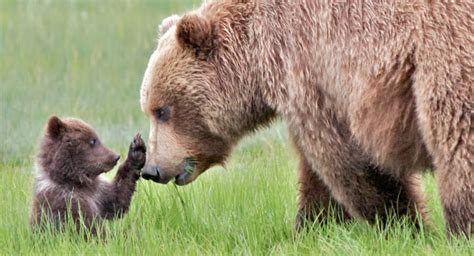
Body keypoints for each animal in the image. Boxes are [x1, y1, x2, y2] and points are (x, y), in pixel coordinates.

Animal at [139, 0, 472, 236]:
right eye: (150, 108)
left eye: (163, 110)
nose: (151, 169)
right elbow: (318, 176)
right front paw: (311, 226)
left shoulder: (310, 67)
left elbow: (347, 157)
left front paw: (406, 225)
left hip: (443, 54)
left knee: (457, 139)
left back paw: (460, 228)